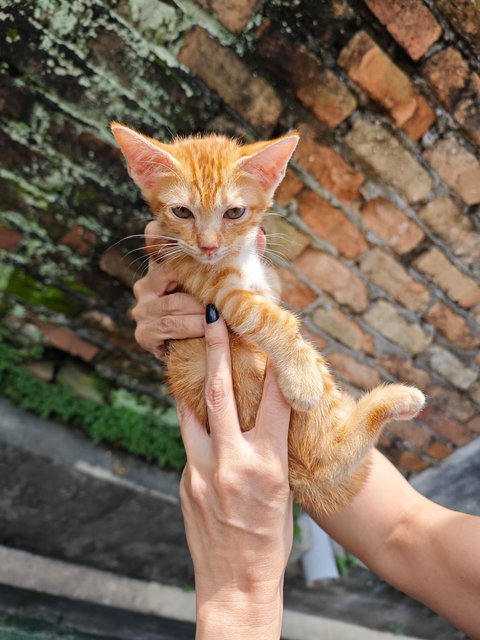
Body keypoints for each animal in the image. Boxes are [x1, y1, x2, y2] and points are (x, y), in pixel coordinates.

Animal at [111, 126, 424, 520]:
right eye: (181, 211)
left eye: (235, 212)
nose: (208, 247)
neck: (232, 258)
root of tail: (297, 473)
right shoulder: (222, 295)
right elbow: (272, 319)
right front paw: (301, 376)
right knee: (330, 457)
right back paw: (394, 398)